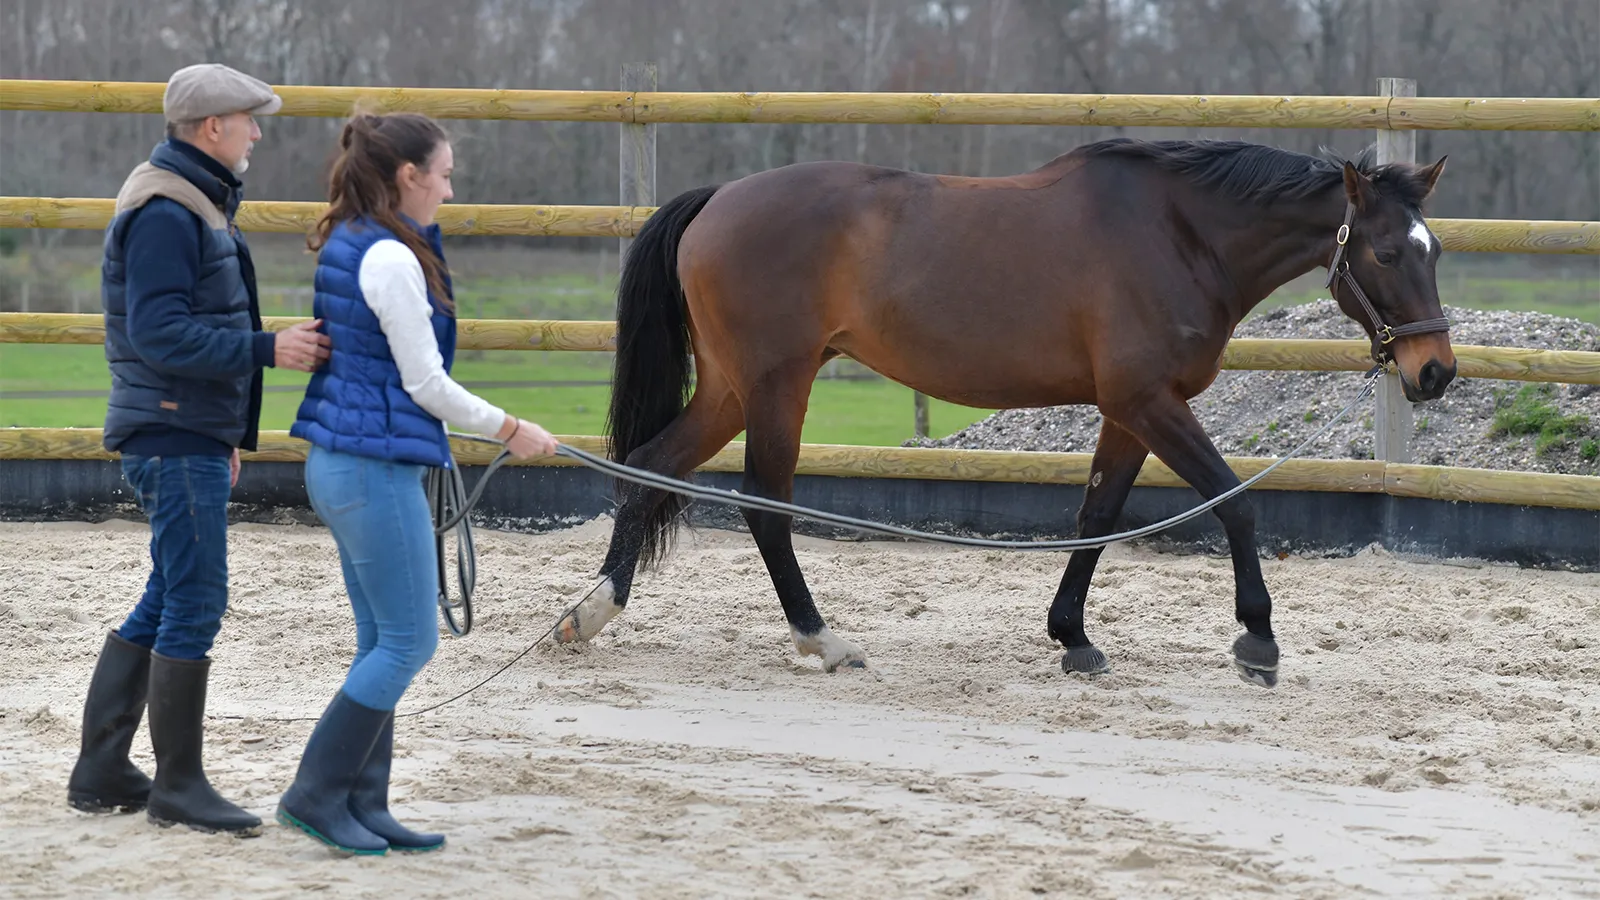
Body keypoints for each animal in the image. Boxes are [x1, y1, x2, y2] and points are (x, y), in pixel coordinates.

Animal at [552, 137, 1455, 688]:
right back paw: (822, 639)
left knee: (650, 467)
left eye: (1434, 249)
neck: (1177, 234)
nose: (1435, 371)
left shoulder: (1127, 411)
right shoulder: (1148, 401)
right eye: (1384, 252)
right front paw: (1257, 641)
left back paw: (591, 613)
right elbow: (1235, 504)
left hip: (733, 390)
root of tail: (716, 201)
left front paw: (1073, 638)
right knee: (765, 505)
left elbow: (1098, 515)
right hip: (777, 386)